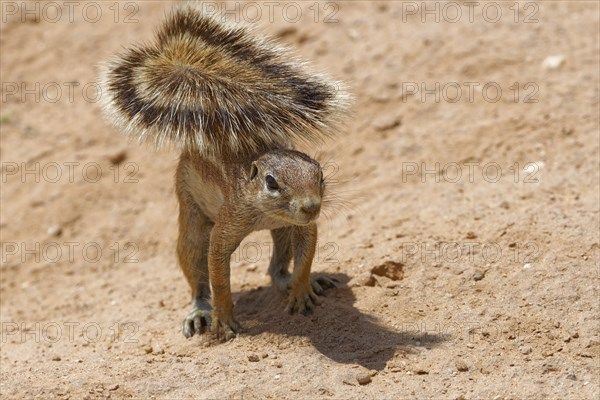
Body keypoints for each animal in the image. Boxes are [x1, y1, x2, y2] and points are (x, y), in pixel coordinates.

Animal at [100, 3, 350, 340]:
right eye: (271, 182)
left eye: (320, 175)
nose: (311, 206)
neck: (263, 210)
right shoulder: (228, 223)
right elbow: (218, 273)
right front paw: (224, 320)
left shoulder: (302, 226)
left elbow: (306, 255)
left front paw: (301, 290)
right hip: (190, 213)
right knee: (195, 265)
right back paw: (199, 312)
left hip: (281, 231)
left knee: (277, 268)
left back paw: (297, 281)